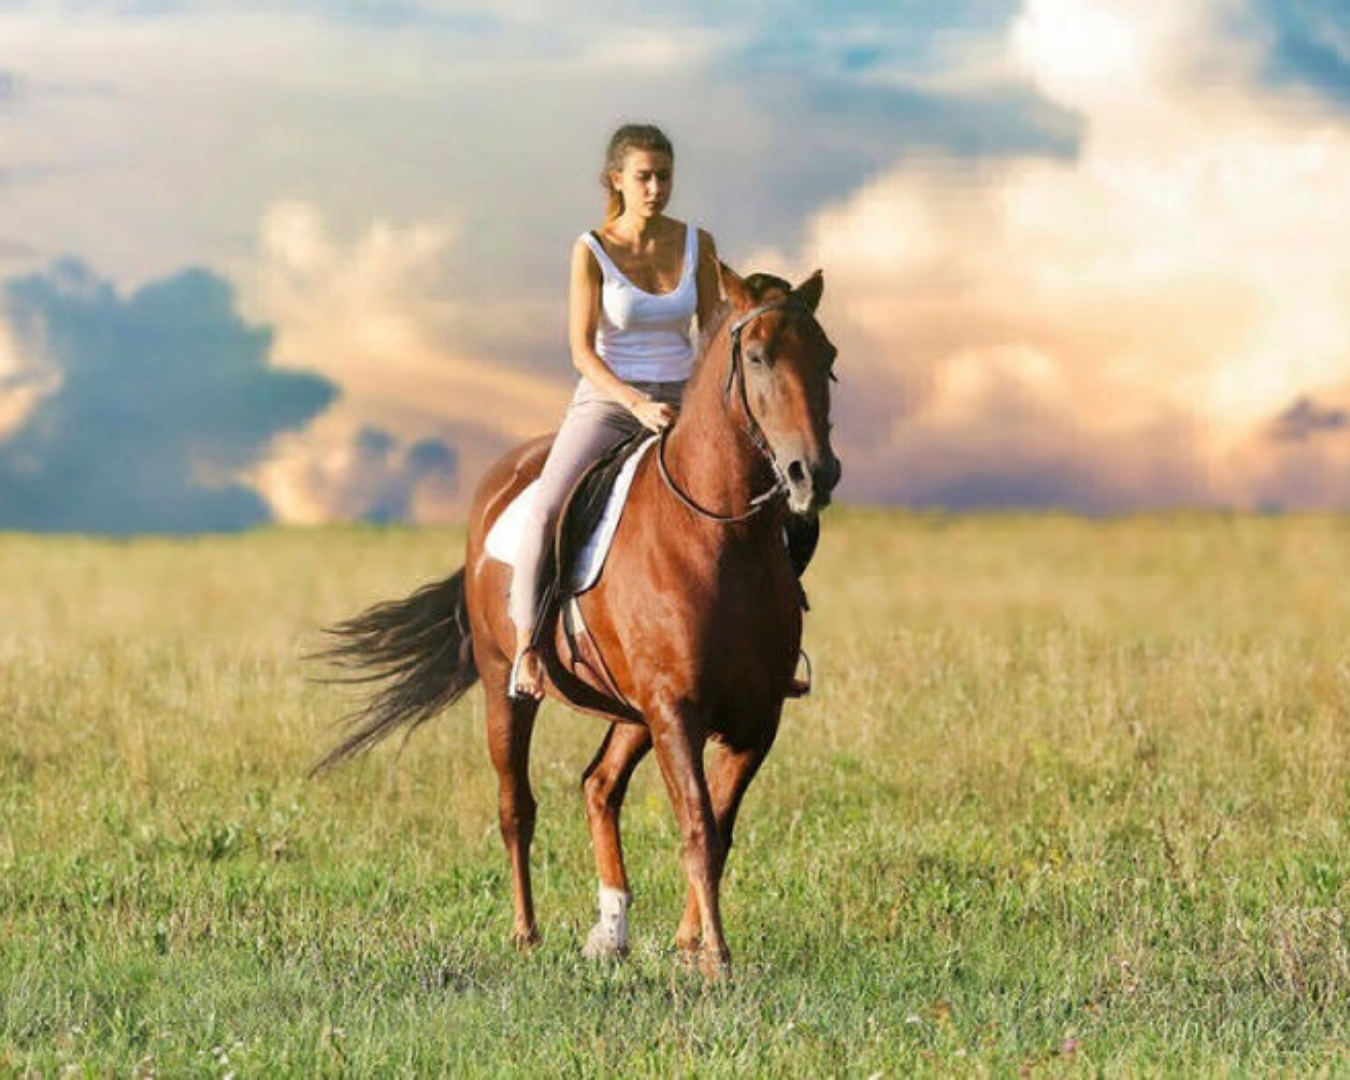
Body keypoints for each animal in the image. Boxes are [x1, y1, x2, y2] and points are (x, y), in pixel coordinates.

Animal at [313, 264, 840, 977]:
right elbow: (698, 826)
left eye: (828, 357)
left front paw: (690, 946)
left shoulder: (754, 719)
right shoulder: (677, 710)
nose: (813, 474)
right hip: (508, 688)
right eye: (757, 356)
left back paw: (611, 932)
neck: (720, 537)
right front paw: (716, 956)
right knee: (517, 806)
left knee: (599, 786)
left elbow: (720, 828)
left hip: (631, 711)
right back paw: (526, 932)